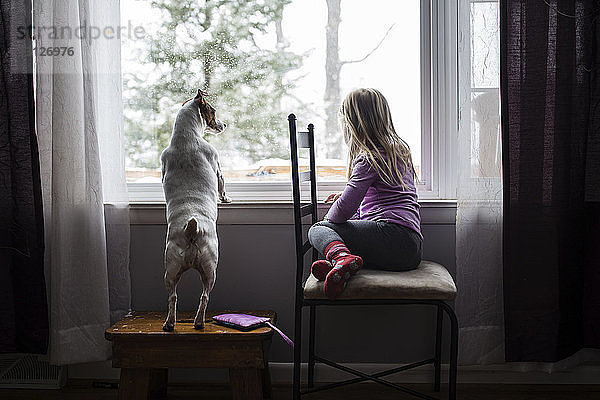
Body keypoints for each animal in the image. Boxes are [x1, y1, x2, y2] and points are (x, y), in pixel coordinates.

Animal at [159, 90, 230, 332]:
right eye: (213, 111)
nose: (224, 124)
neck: (185, 137)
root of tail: (191, 230)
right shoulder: (217, 166)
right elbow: (221, 185)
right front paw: (226, 198)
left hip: (170, 270)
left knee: (172, 297)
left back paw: (169, 324)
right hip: (211, 269)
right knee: (205, 296)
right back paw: (199, 322)